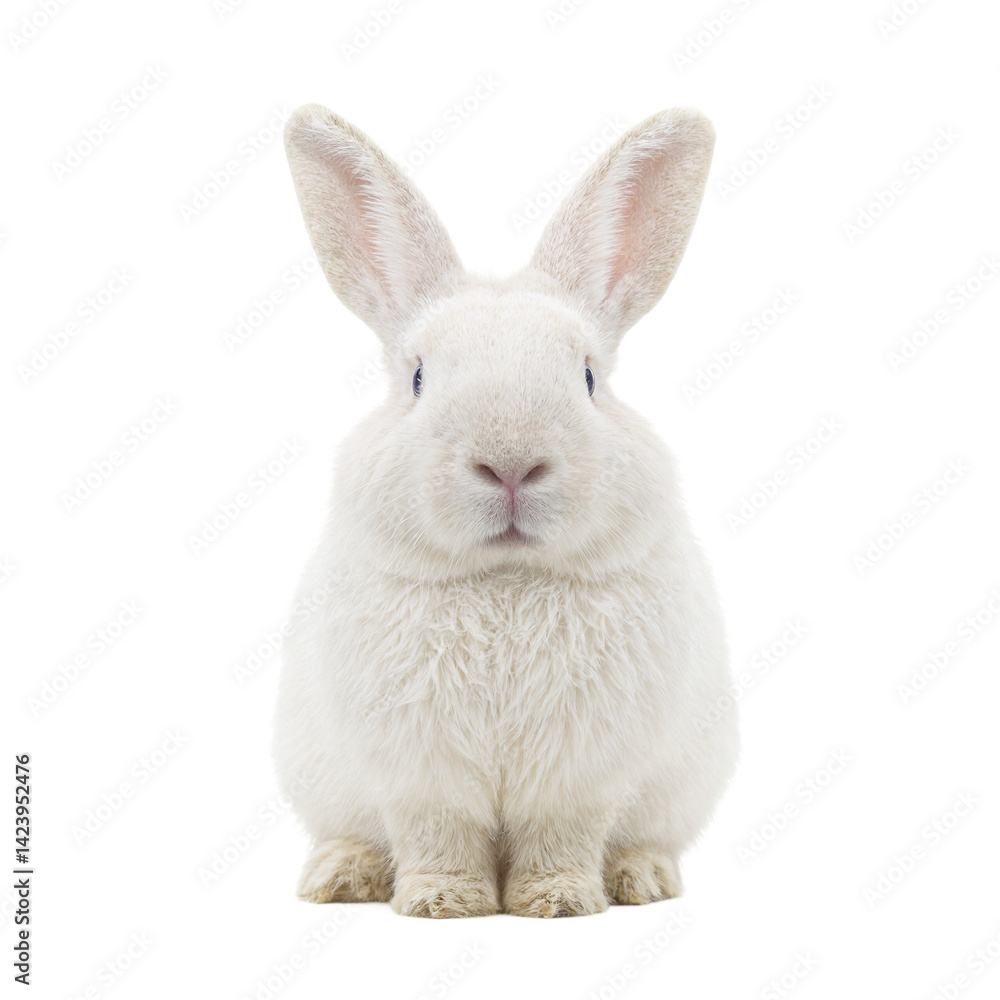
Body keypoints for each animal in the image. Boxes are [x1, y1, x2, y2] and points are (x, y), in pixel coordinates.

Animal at [274, 104, 738, 918]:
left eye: (587, 378)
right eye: (418, 378)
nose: (511, 464)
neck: (506, 578)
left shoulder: (581, 774)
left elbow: (562, 837)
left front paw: (558, 901)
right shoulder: (420, 774)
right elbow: (440, 836)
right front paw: (441, 902)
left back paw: (642, 878)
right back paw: (341, 876)